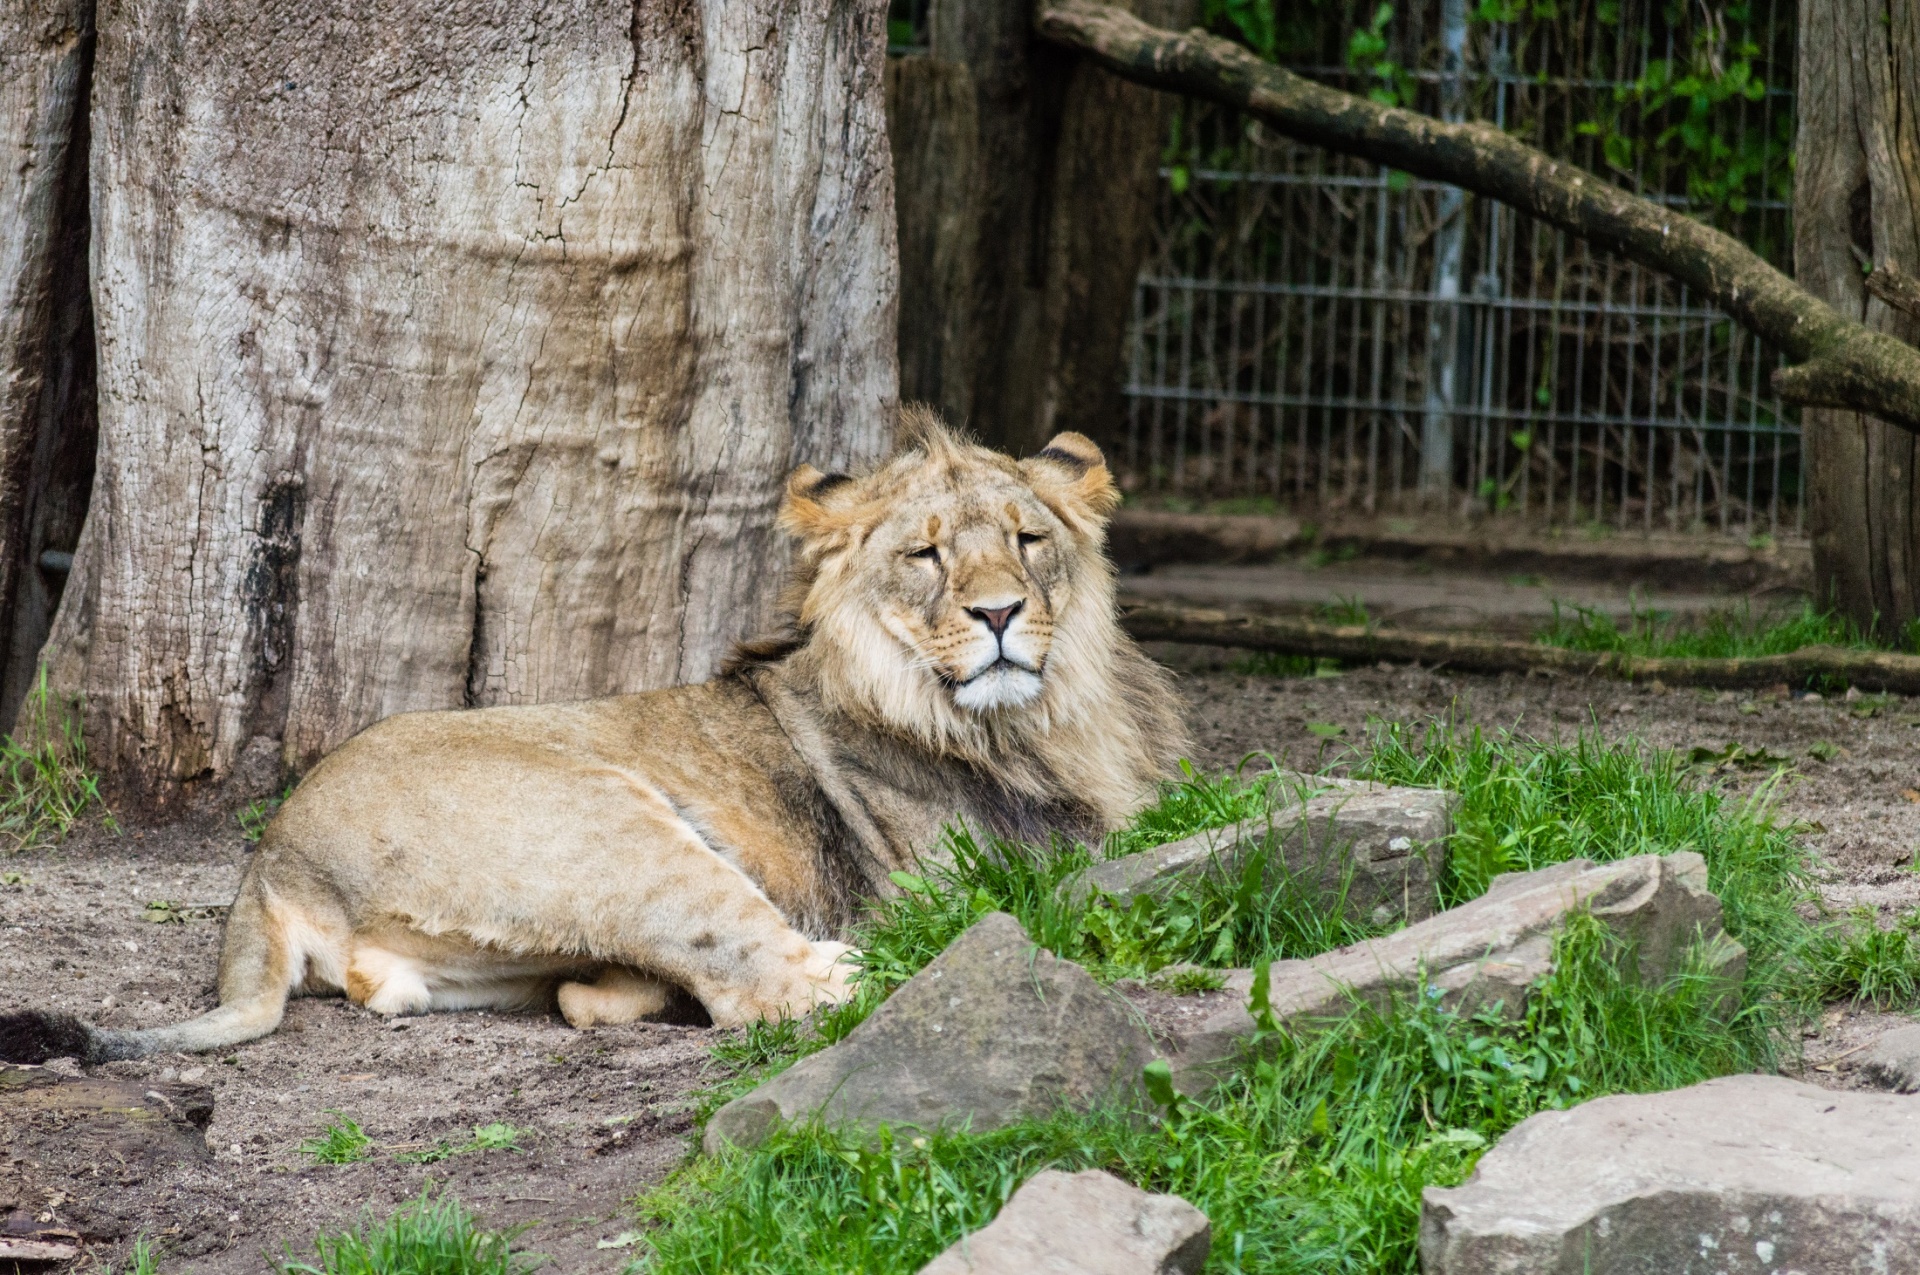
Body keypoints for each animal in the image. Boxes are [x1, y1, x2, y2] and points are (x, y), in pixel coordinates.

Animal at [0, 410, 1190, 1067]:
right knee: (768, 984)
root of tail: (267, 858)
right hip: (618, 830)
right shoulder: (991, 855)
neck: (1039, 716)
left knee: (588, 996)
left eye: (1028, 540)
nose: (998, 615)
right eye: (927, 555)